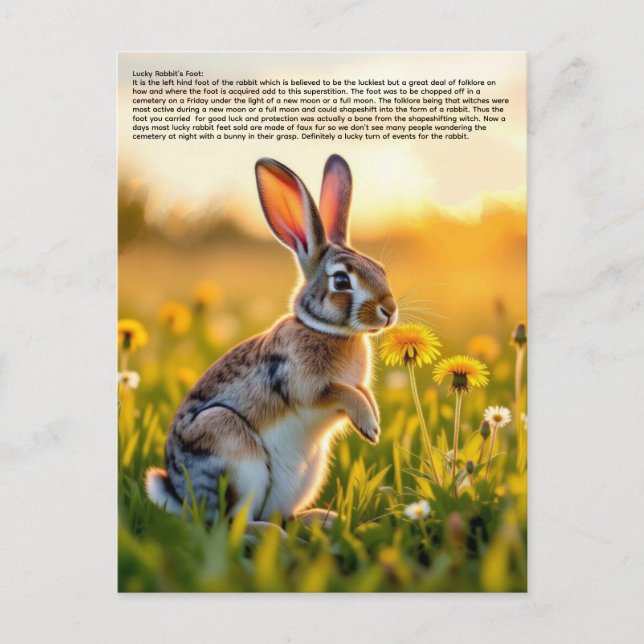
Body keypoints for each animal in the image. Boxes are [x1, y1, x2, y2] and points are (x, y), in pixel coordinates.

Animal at [145, 154, 398, 526]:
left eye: (380, 270)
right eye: (341, 281)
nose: (390, 311)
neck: (324, 329)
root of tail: (182, 496)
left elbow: (363, 393)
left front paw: (374, 420)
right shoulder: (307, 386)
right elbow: (341, 394)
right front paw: (369, 427)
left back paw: (322, 519)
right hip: (231, 447)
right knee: (233, 523)